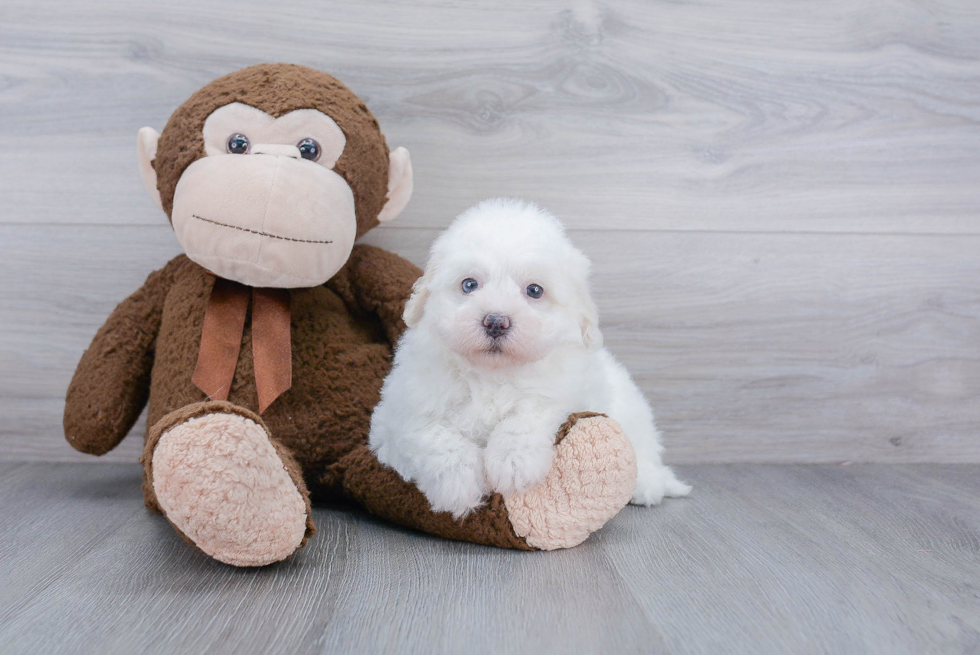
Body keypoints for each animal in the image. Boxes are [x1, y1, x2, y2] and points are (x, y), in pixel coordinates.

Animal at [372, 199, 692, 516]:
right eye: (469, 285)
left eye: (534, 290)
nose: (496, 321)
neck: (493, 374)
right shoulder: (398, 415)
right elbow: (430, 435)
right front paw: (458, 484)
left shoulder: (562, 393)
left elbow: (528, 414)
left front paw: (512, 463)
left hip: (632, 413)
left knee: (646, 454)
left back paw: (646, 486)